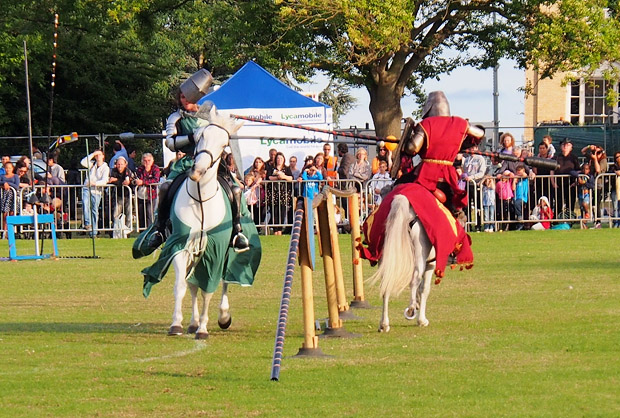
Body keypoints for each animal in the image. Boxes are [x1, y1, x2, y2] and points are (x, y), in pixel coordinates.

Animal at [368, 193, 436, 334]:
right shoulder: (430, 264)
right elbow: (424, 288)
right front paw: (422, 320)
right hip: (420, 255)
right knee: (415, 280)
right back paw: (411, 309)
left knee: (386, 286)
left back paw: (384, 324)